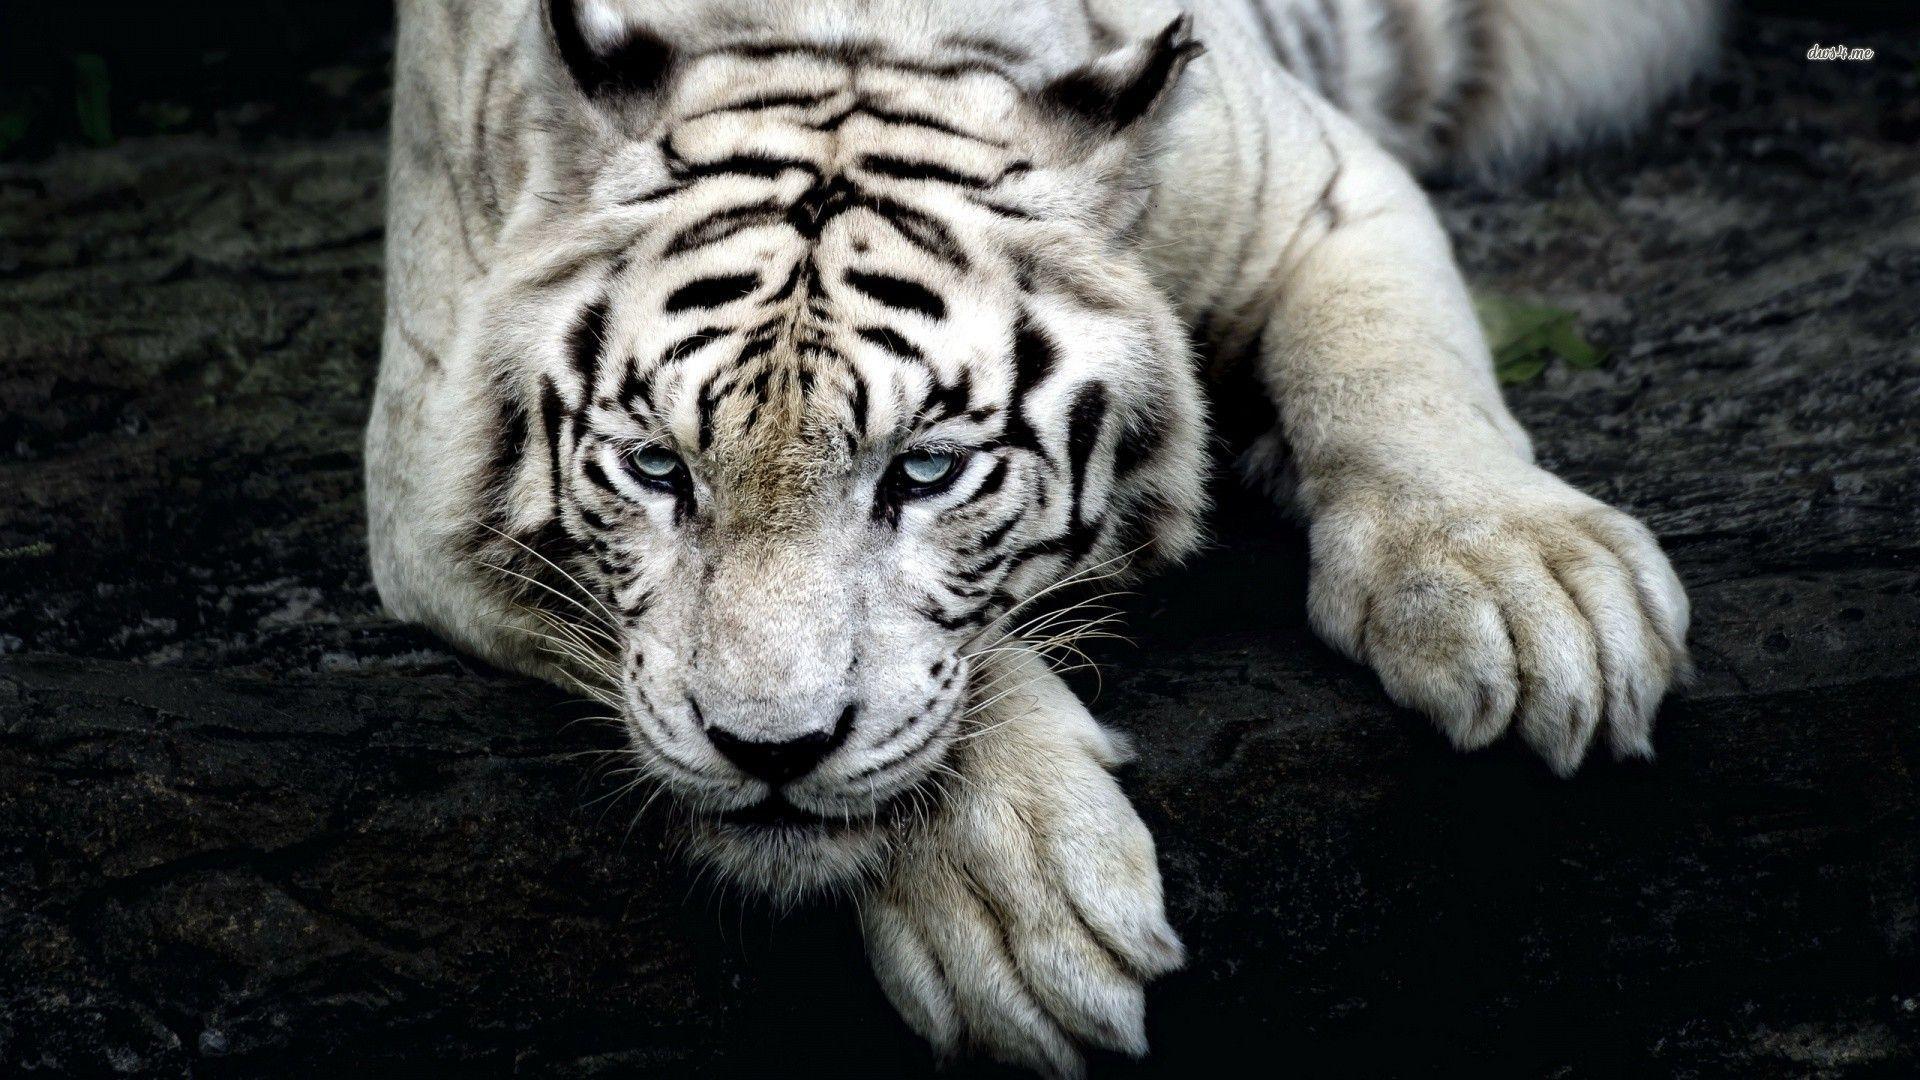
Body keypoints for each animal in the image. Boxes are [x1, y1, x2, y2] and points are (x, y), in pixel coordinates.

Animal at [366, 0, 1716, 1073]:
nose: (768, 751)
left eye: (925, 469)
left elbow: (1395, 372)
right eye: (657, 466)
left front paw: (1534, 596)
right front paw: (1017, 904)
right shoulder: (423, 477)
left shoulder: (1323, 185)